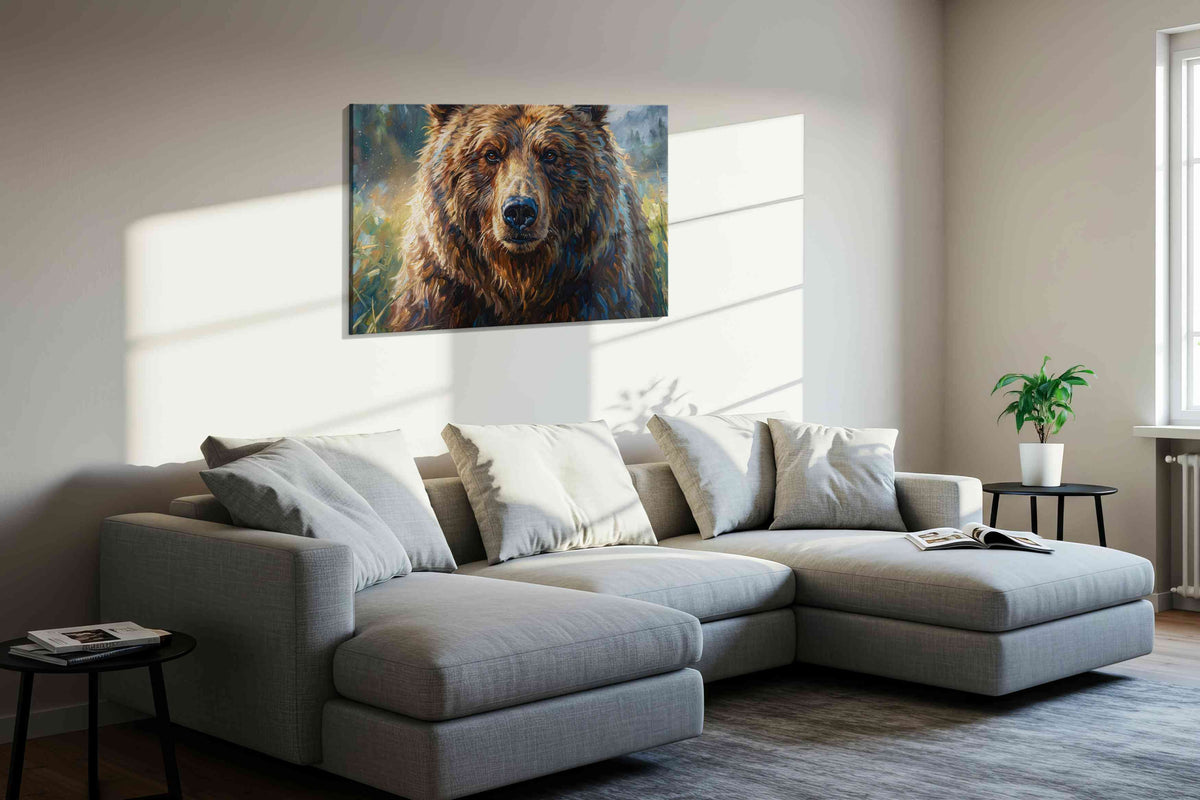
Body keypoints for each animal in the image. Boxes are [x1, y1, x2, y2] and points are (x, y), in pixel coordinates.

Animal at [386, 104, 664, 331]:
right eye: (491, 153)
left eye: (550, 153)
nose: (519, 210)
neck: (518, 280)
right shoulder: (438, 291)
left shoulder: (596, 286)